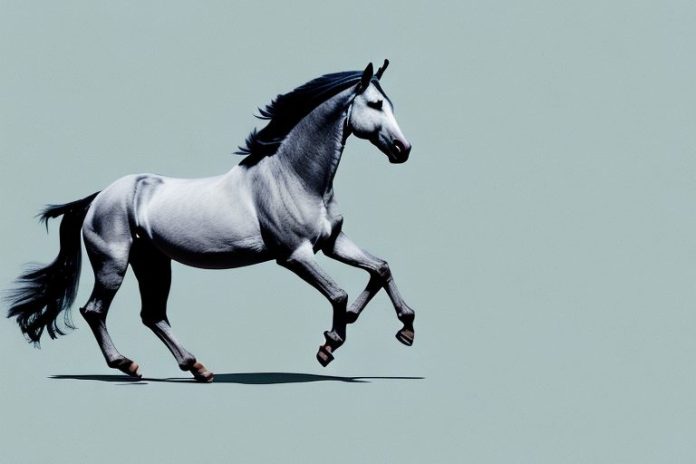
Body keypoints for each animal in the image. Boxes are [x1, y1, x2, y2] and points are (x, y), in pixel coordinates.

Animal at [6, 60, 415, 382]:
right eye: (376, 104)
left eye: (391, 104)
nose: (403, 149)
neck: (293, 177)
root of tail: (97, 198)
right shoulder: (294, 255)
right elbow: (339, 293)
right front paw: (328, 346)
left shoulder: (331, 242)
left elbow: (380, 268)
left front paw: (405, 328)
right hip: (113, 265)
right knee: (95, 312)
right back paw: (128, 365)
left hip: (153, 263)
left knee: (152, 315)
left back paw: (197, 368)